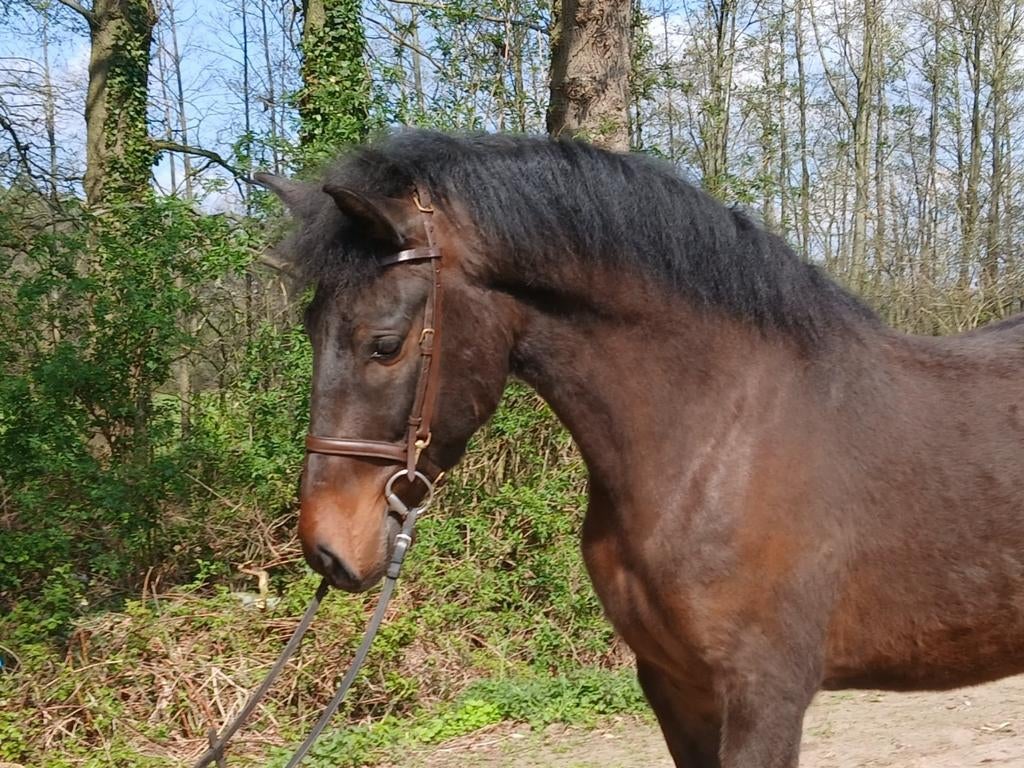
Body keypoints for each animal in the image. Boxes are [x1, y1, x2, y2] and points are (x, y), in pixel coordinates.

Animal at [256, 130, 1024, 768]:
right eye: (309, 328)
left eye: (383, 344)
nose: (326, 547)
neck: (720, 440)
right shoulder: (672, 684)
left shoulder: (764, 695)